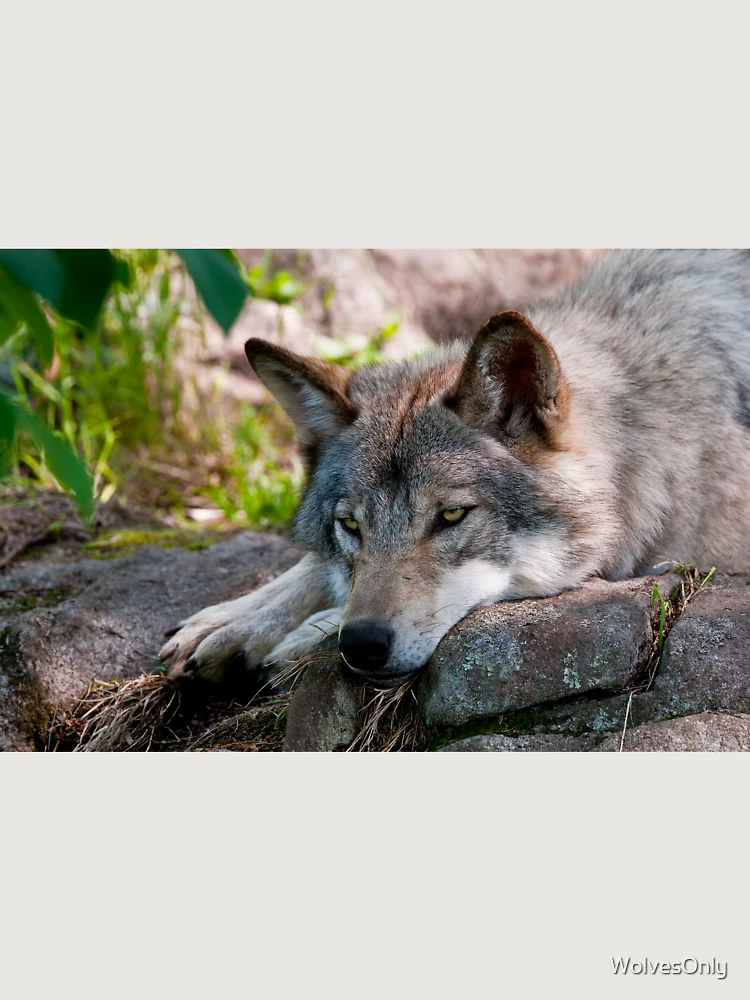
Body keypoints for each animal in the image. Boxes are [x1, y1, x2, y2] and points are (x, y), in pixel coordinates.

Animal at [159, 250, 750, 687]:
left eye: (451, 516)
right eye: (349, 526)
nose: (361, 644)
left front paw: (307, 633)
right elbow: (309, 569)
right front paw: (235, 620)